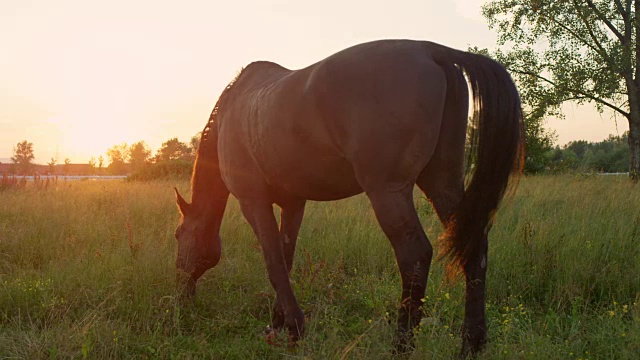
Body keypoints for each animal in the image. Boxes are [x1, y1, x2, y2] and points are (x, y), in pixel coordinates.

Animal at [172, 40, 524, 358]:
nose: (180, 296)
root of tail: (432, 50)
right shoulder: (293, 204)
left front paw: (294, 329)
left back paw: (401, 347)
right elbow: (286, 258)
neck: (234, 110)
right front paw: (279, 324)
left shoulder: (252, 201)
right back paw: (471, 343)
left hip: (388, 193)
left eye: (178, 235)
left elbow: (273, 262)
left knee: (415, 256)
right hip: (442, 183)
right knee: (474, 248)